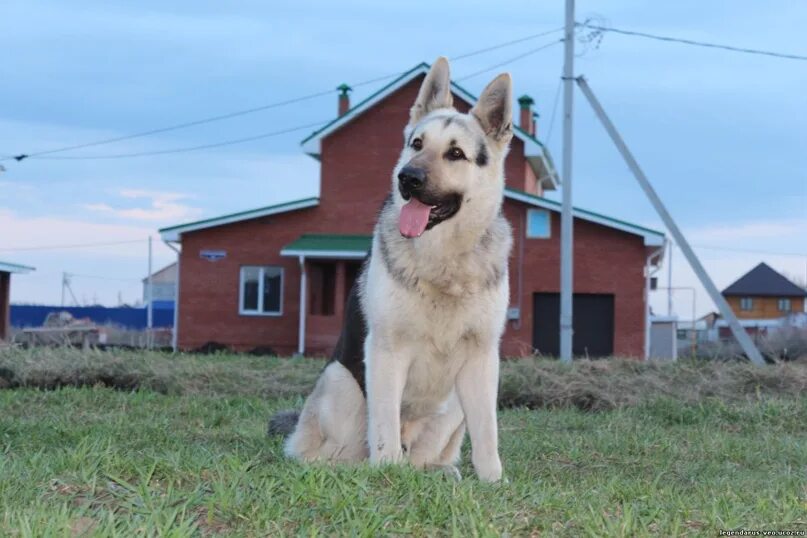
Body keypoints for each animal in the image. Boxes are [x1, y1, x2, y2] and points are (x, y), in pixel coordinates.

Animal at [270, 56, 512, 480]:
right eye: (417, 144)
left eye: (456, 154)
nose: (408, 178)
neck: (443, 259)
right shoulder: (386, 350)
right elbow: (383, 427)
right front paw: (386, 474)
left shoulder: (482, 357)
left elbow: (487, 433)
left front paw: (494, 482)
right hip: (341, 385)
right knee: (335, 453)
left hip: (451, 406)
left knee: (426, 456)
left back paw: (436, 471)